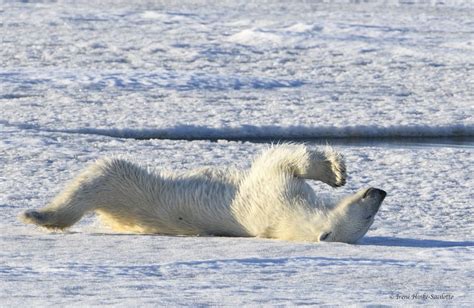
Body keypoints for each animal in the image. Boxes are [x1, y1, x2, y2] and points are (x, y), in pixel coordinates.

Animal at [20, 144, 386, 243]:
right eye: (370, 213)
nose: (379, 191)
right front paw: (338, 172)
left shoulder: (278, 195)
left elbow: (282, 160)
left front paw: (335, 171)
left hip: (132, 190)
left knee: (103, 173)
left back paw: (39, 215)